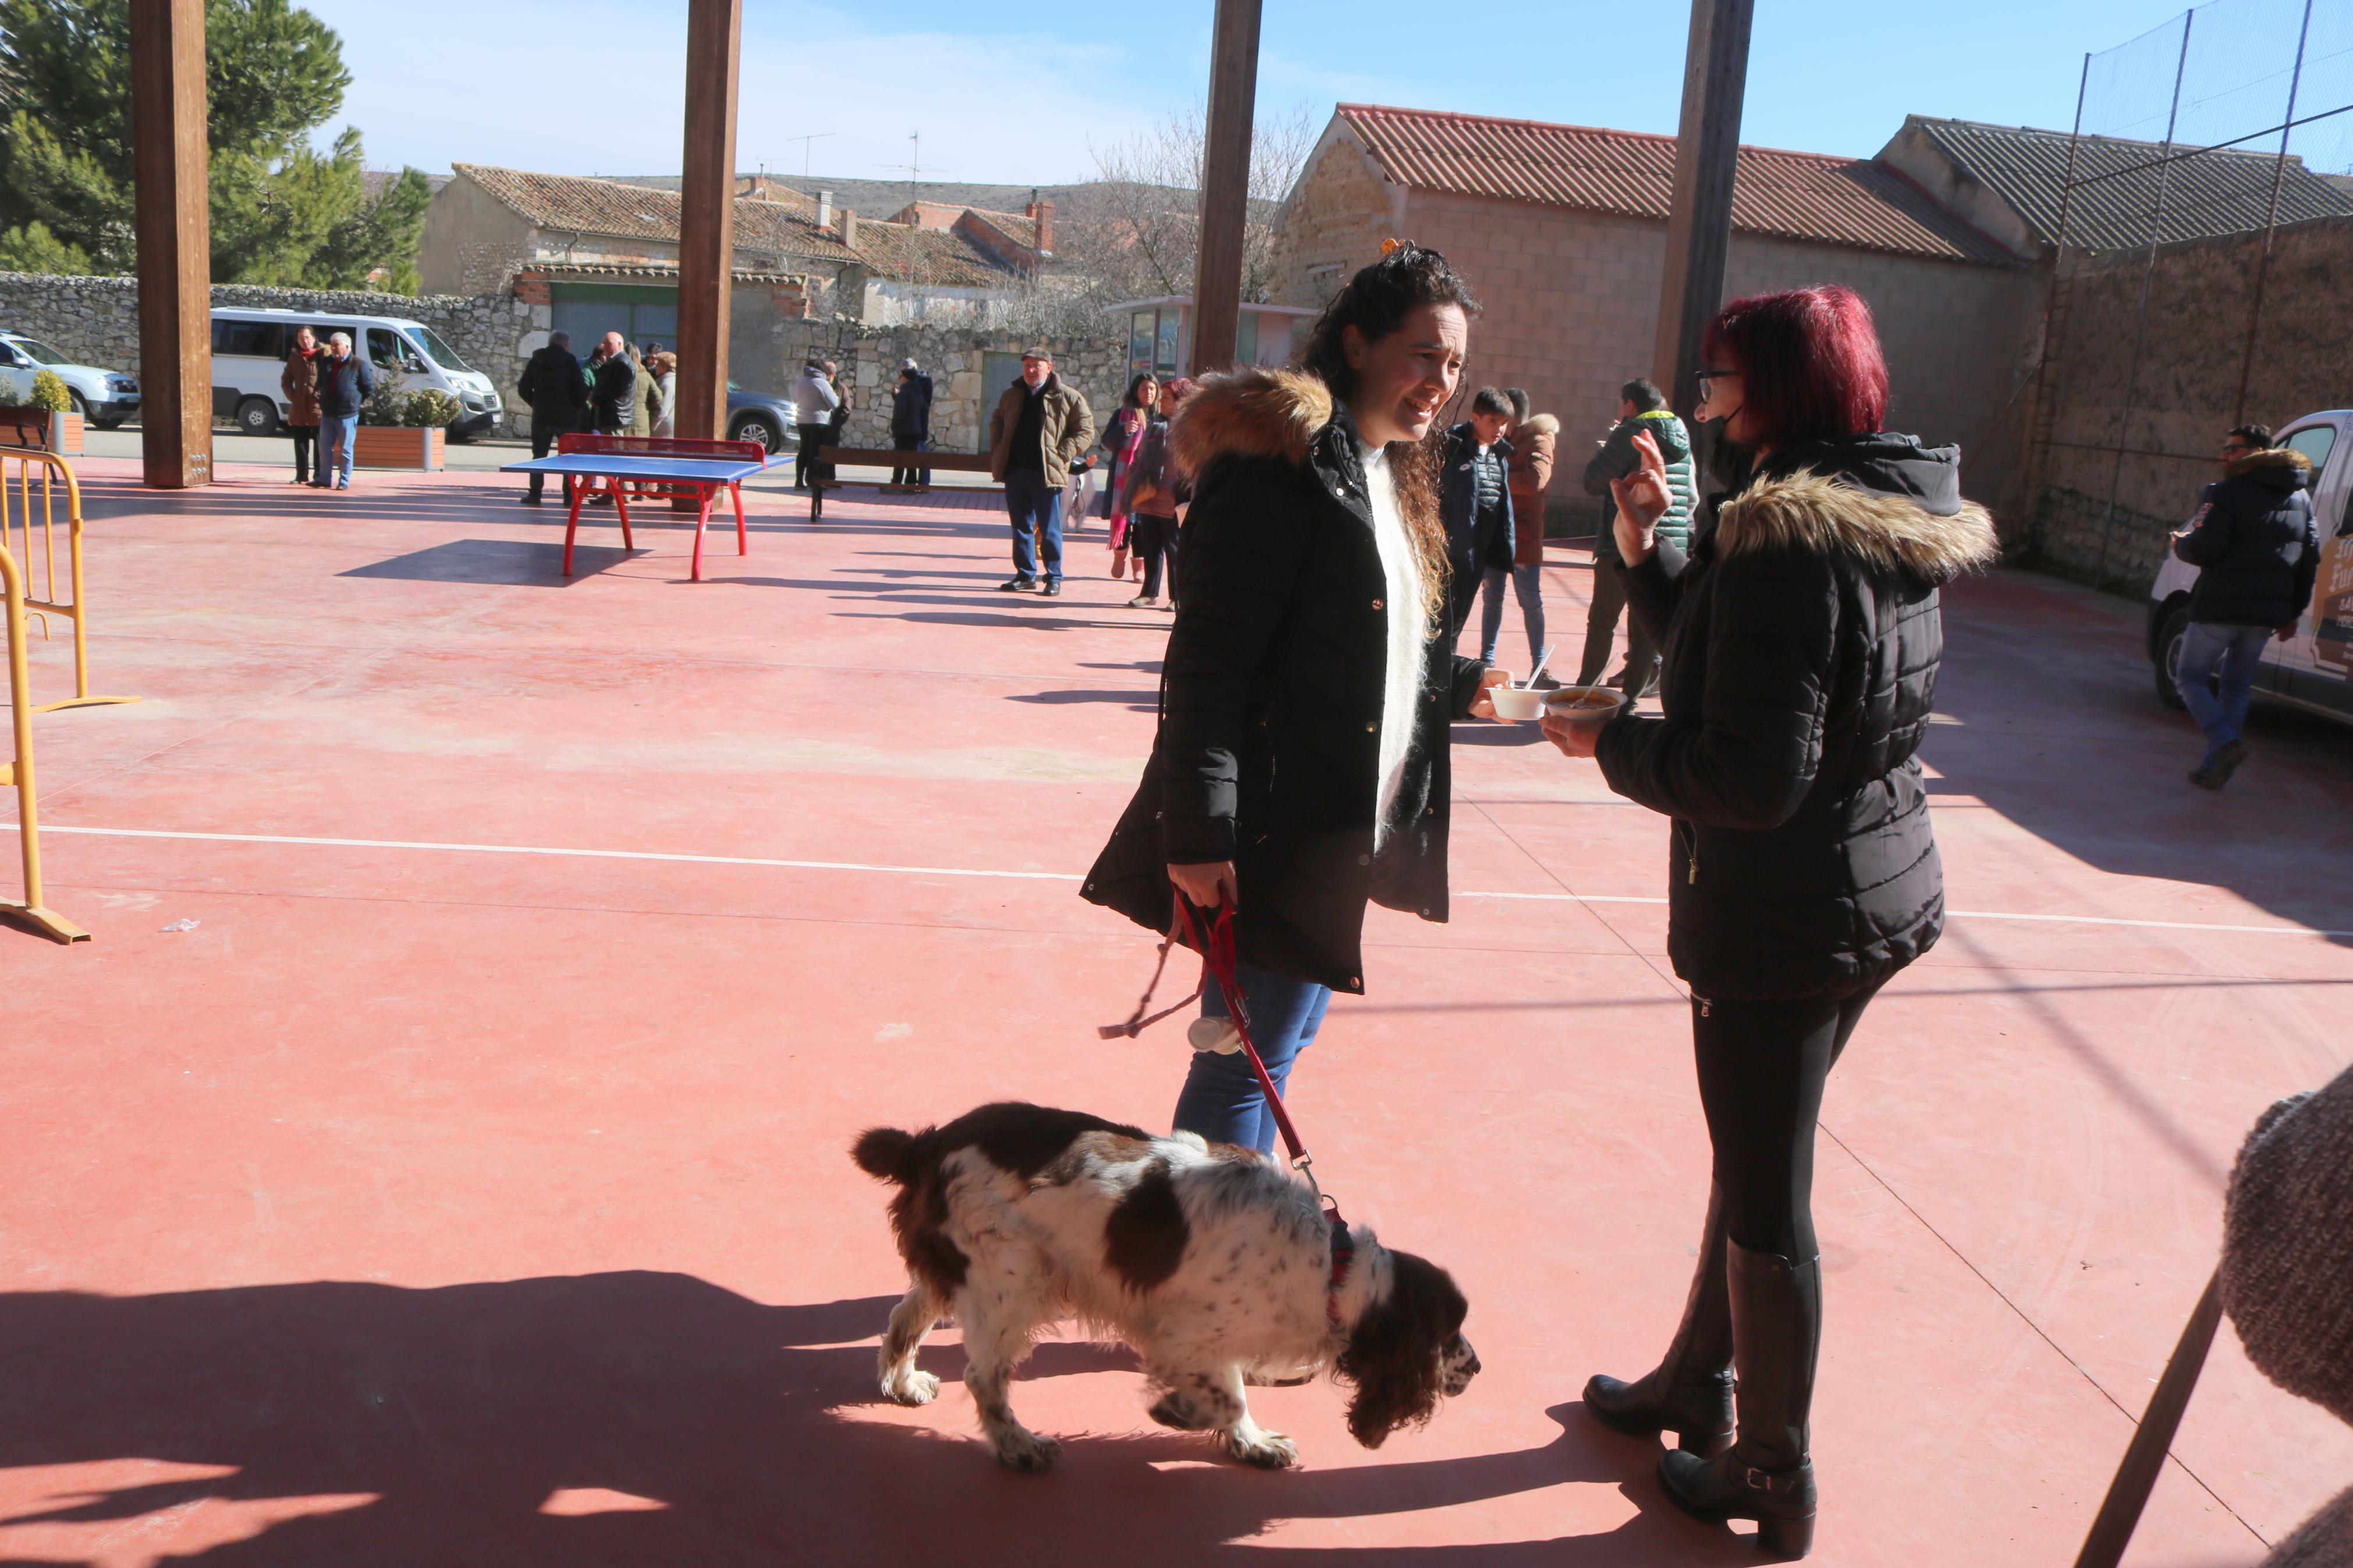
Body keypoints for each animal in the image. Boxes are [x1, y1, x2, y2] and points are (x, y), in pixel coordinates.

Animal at [851, 1105, 1468, 1476]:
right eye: (1449, 1333)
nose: (1477, 1367)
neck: (1329, 1269)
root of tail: (926, 1145)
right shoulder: (1185, 1338)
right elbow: (1228, 1395)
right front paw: (1176, 1410)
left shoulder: (1217, 1338)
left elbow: (1234, 1390)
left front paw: (1252, 1442)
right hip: (1012, 1276)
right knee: (983, 1375)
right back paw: (1018, 1445)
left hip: (964, 1268)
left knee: (904, 1317)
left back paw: (904, 1383)